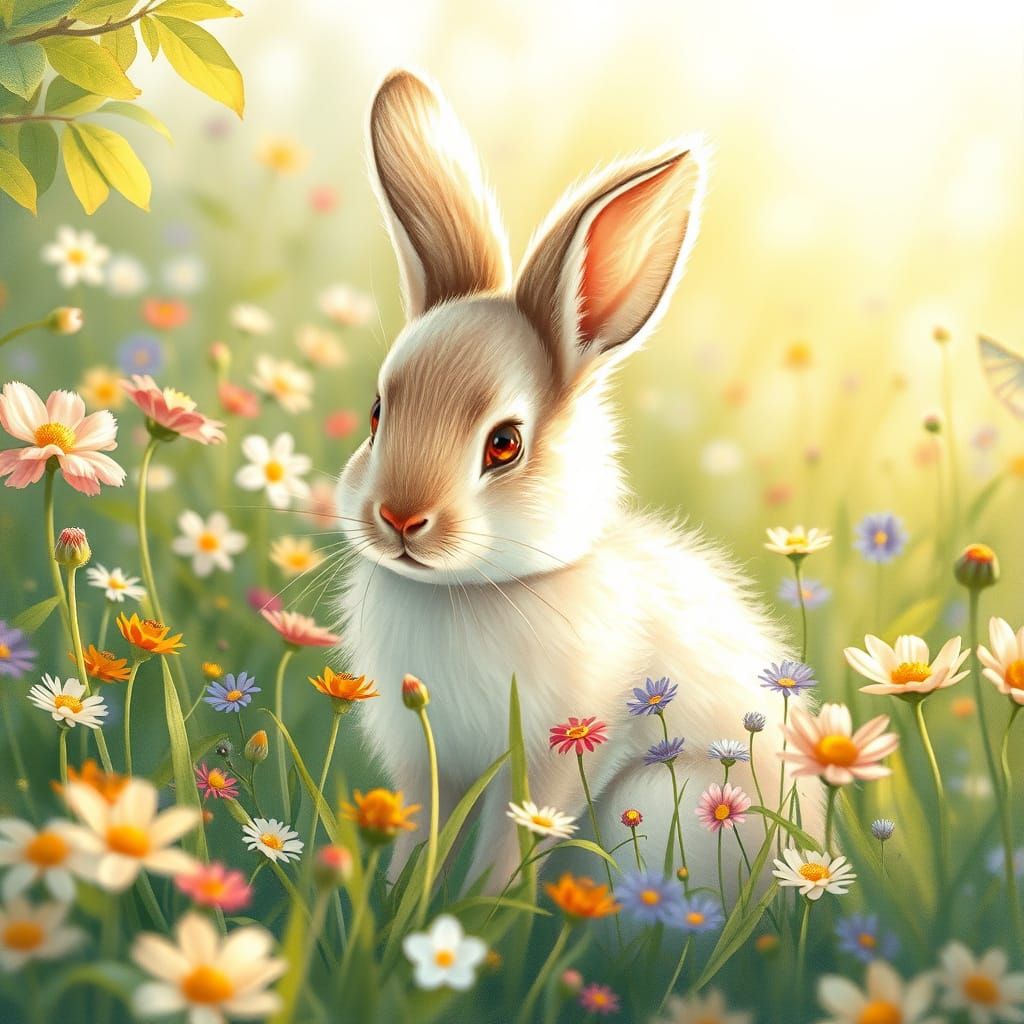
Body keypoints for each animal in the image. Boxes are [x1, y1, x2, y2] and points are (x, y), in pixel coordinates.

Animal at [335, 69, 822, 897]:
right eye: (376, 412)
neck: (473, 590)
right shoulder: (425, 759)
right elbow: (418, 835)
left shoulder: (552, 754)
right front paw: (400, 898)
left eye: (504, 444)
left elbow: (509, 846)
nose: (399, 518)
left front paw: (481, 912)